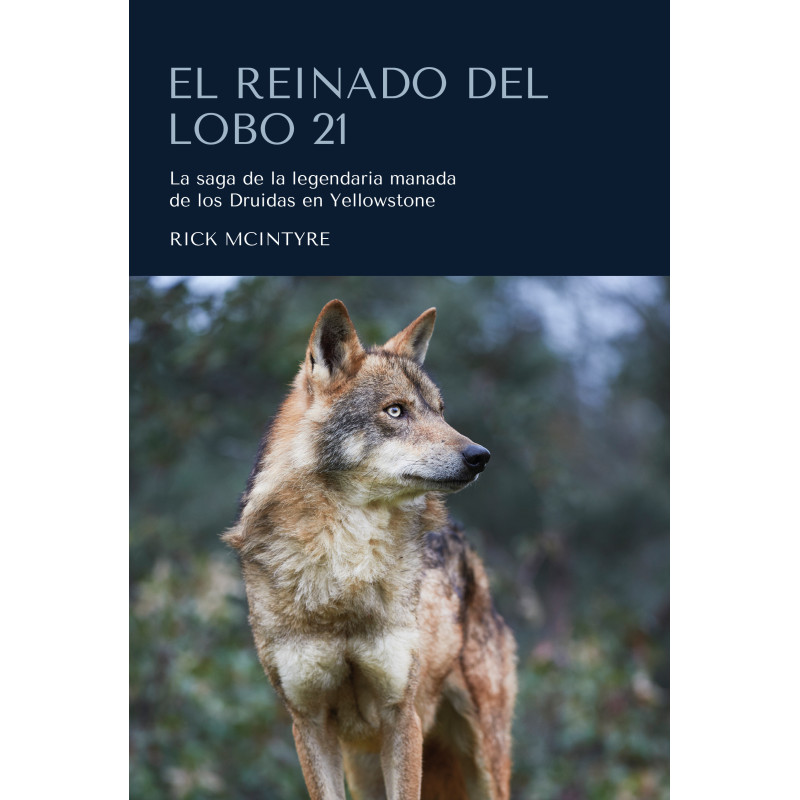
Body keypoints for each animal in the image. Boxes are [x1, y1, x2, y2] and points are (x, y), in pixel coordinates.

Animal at [223, 300, 517, 800]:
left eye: (440, 412)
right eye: (395, 411)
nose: (480, 456)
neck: (344, 566)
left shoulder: (402, 716)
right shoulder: (309, 722)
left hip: (483, 760)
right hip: (363, 764)